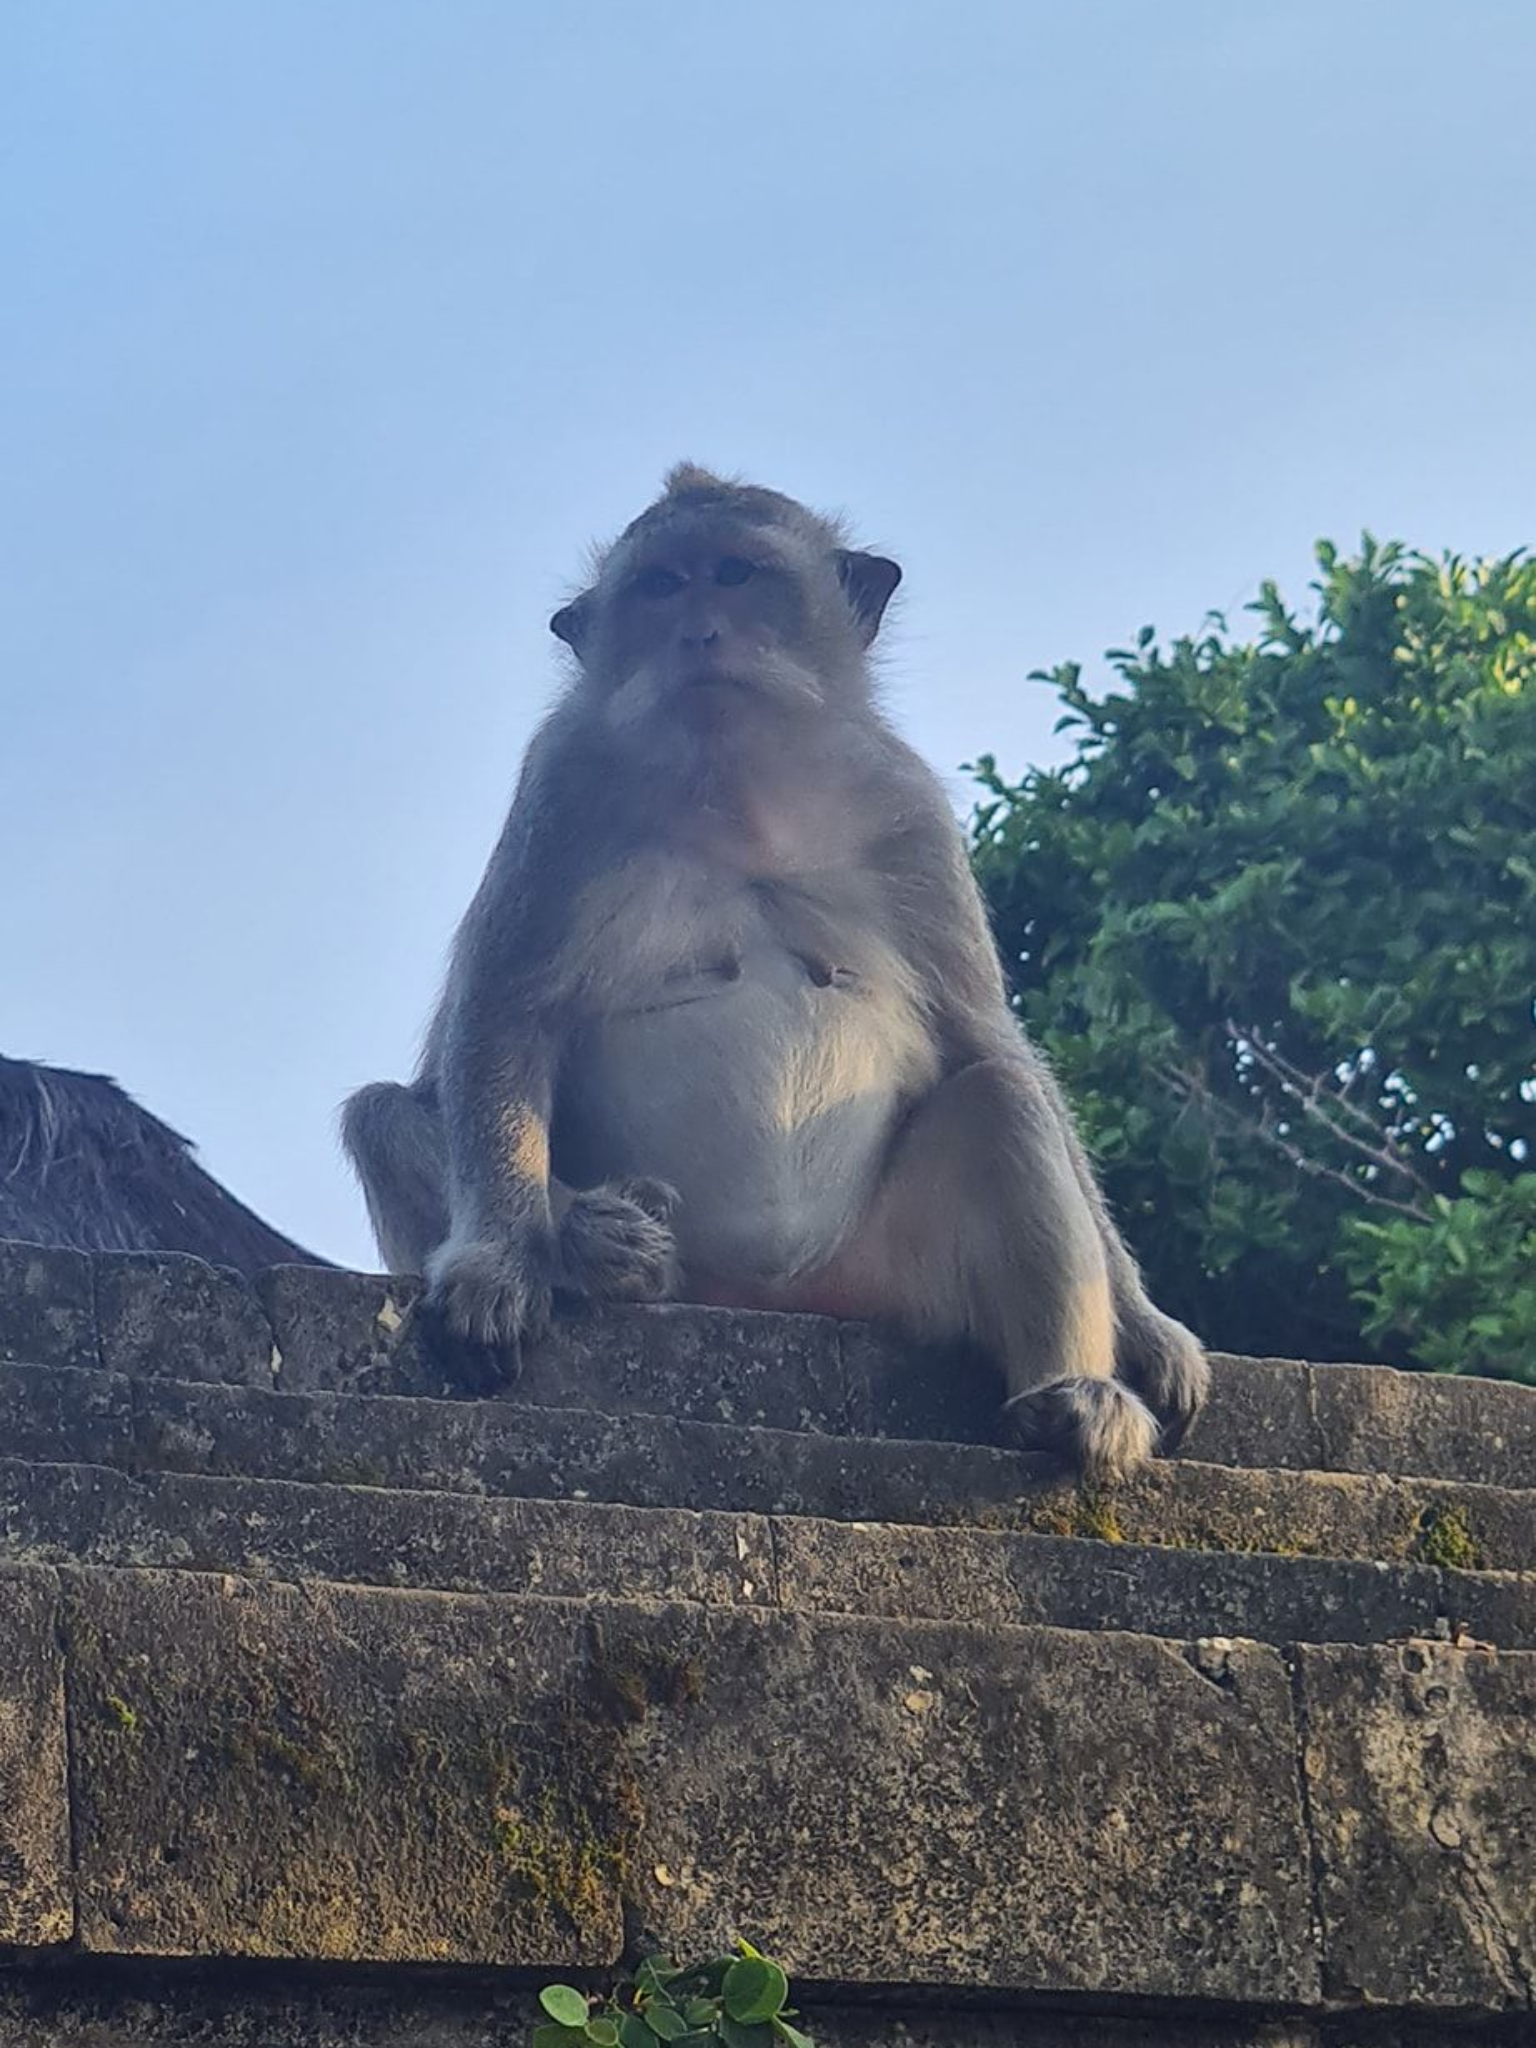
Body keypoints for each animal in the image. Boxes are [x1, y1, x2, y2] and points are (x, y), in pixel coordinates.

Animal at [341, 464, 1208, 1482]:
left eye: (734, 573)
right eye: (660, 587)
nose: (699, 633)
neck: (736, 782)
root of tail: (768, 1304)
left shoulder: (909, 807)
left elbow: (983, 1036)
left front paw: (1149, 1327)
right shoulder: (560, 787)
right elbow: (503, 1013)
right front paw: (499, 1262)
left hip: (885, 1277)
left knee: (1000, 1097)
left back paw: (1080, 1403)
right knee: (381, 1114)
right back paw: (598, 1244)